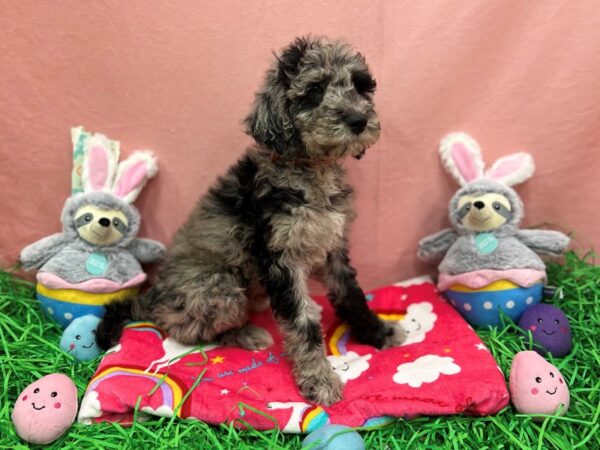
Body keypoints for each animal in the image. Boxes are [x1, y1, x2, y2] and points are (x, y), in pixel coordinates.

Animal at [98, 36, 406, 404]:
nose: (358, 119)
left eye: (360, 86)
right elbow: (301, 322)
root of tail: (152, 294)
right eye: (315, 90)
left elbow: (351, 293)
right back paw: (245, 333)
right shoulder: (279, 257)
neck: (311, 169)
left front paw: (377, 331)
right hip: (219, 288)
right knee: (181, 327)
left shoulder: (334, 246)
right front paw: (318, 378)